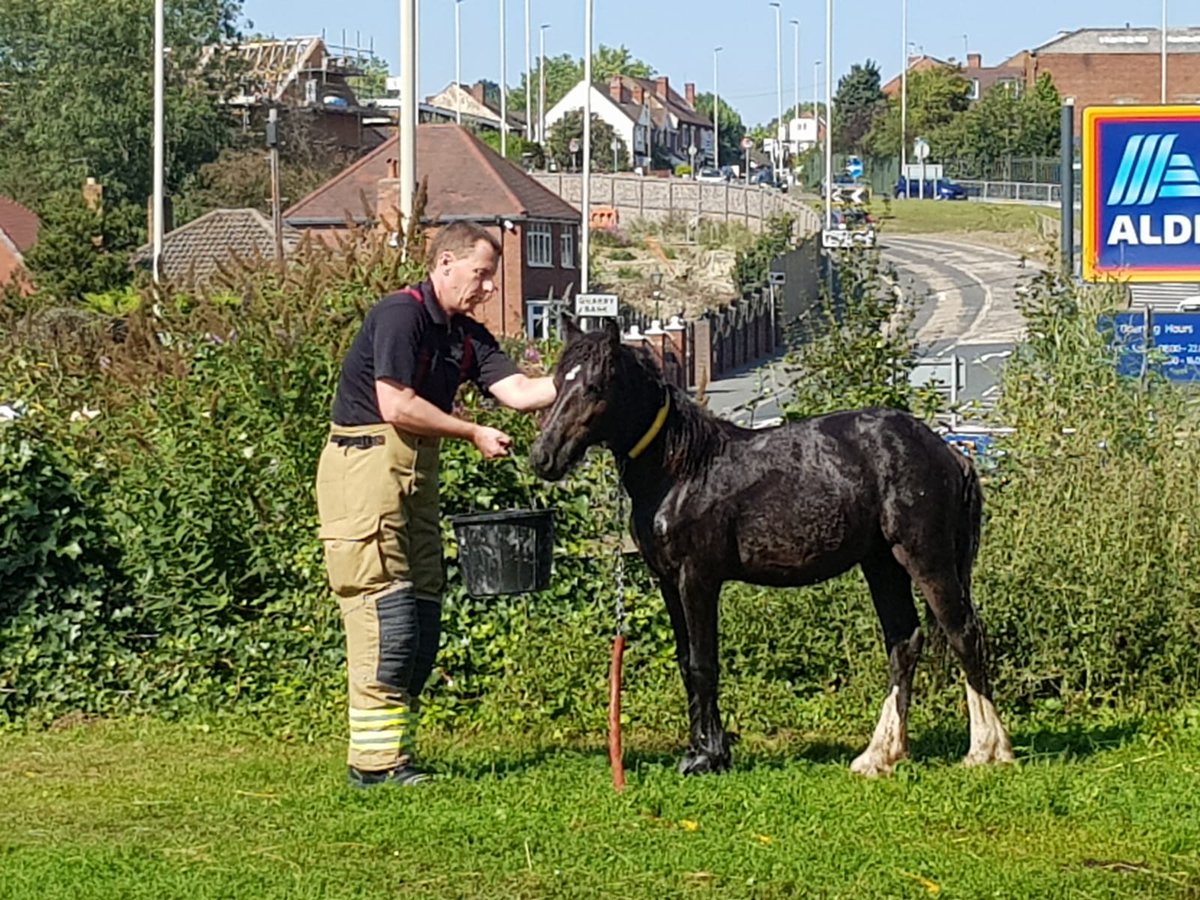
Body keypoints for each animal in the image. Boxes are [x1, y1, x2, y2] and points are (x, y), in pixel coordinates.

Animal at [535, 321, 1012, 777]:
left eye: (595, 385)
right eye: (558, 382)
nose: (543, 458)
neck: (683, 472)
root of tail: (950, 453)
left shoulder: (698, 579)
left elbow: (704, 664)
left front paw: (708, 757)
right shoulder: (668, 581)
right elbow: (687, 663)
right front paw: (701, 750)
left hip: (926, 559)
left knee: (965, 634)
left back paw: (986, 751)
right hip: (882, 565)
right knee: (904, 642)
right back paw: (879, 756)